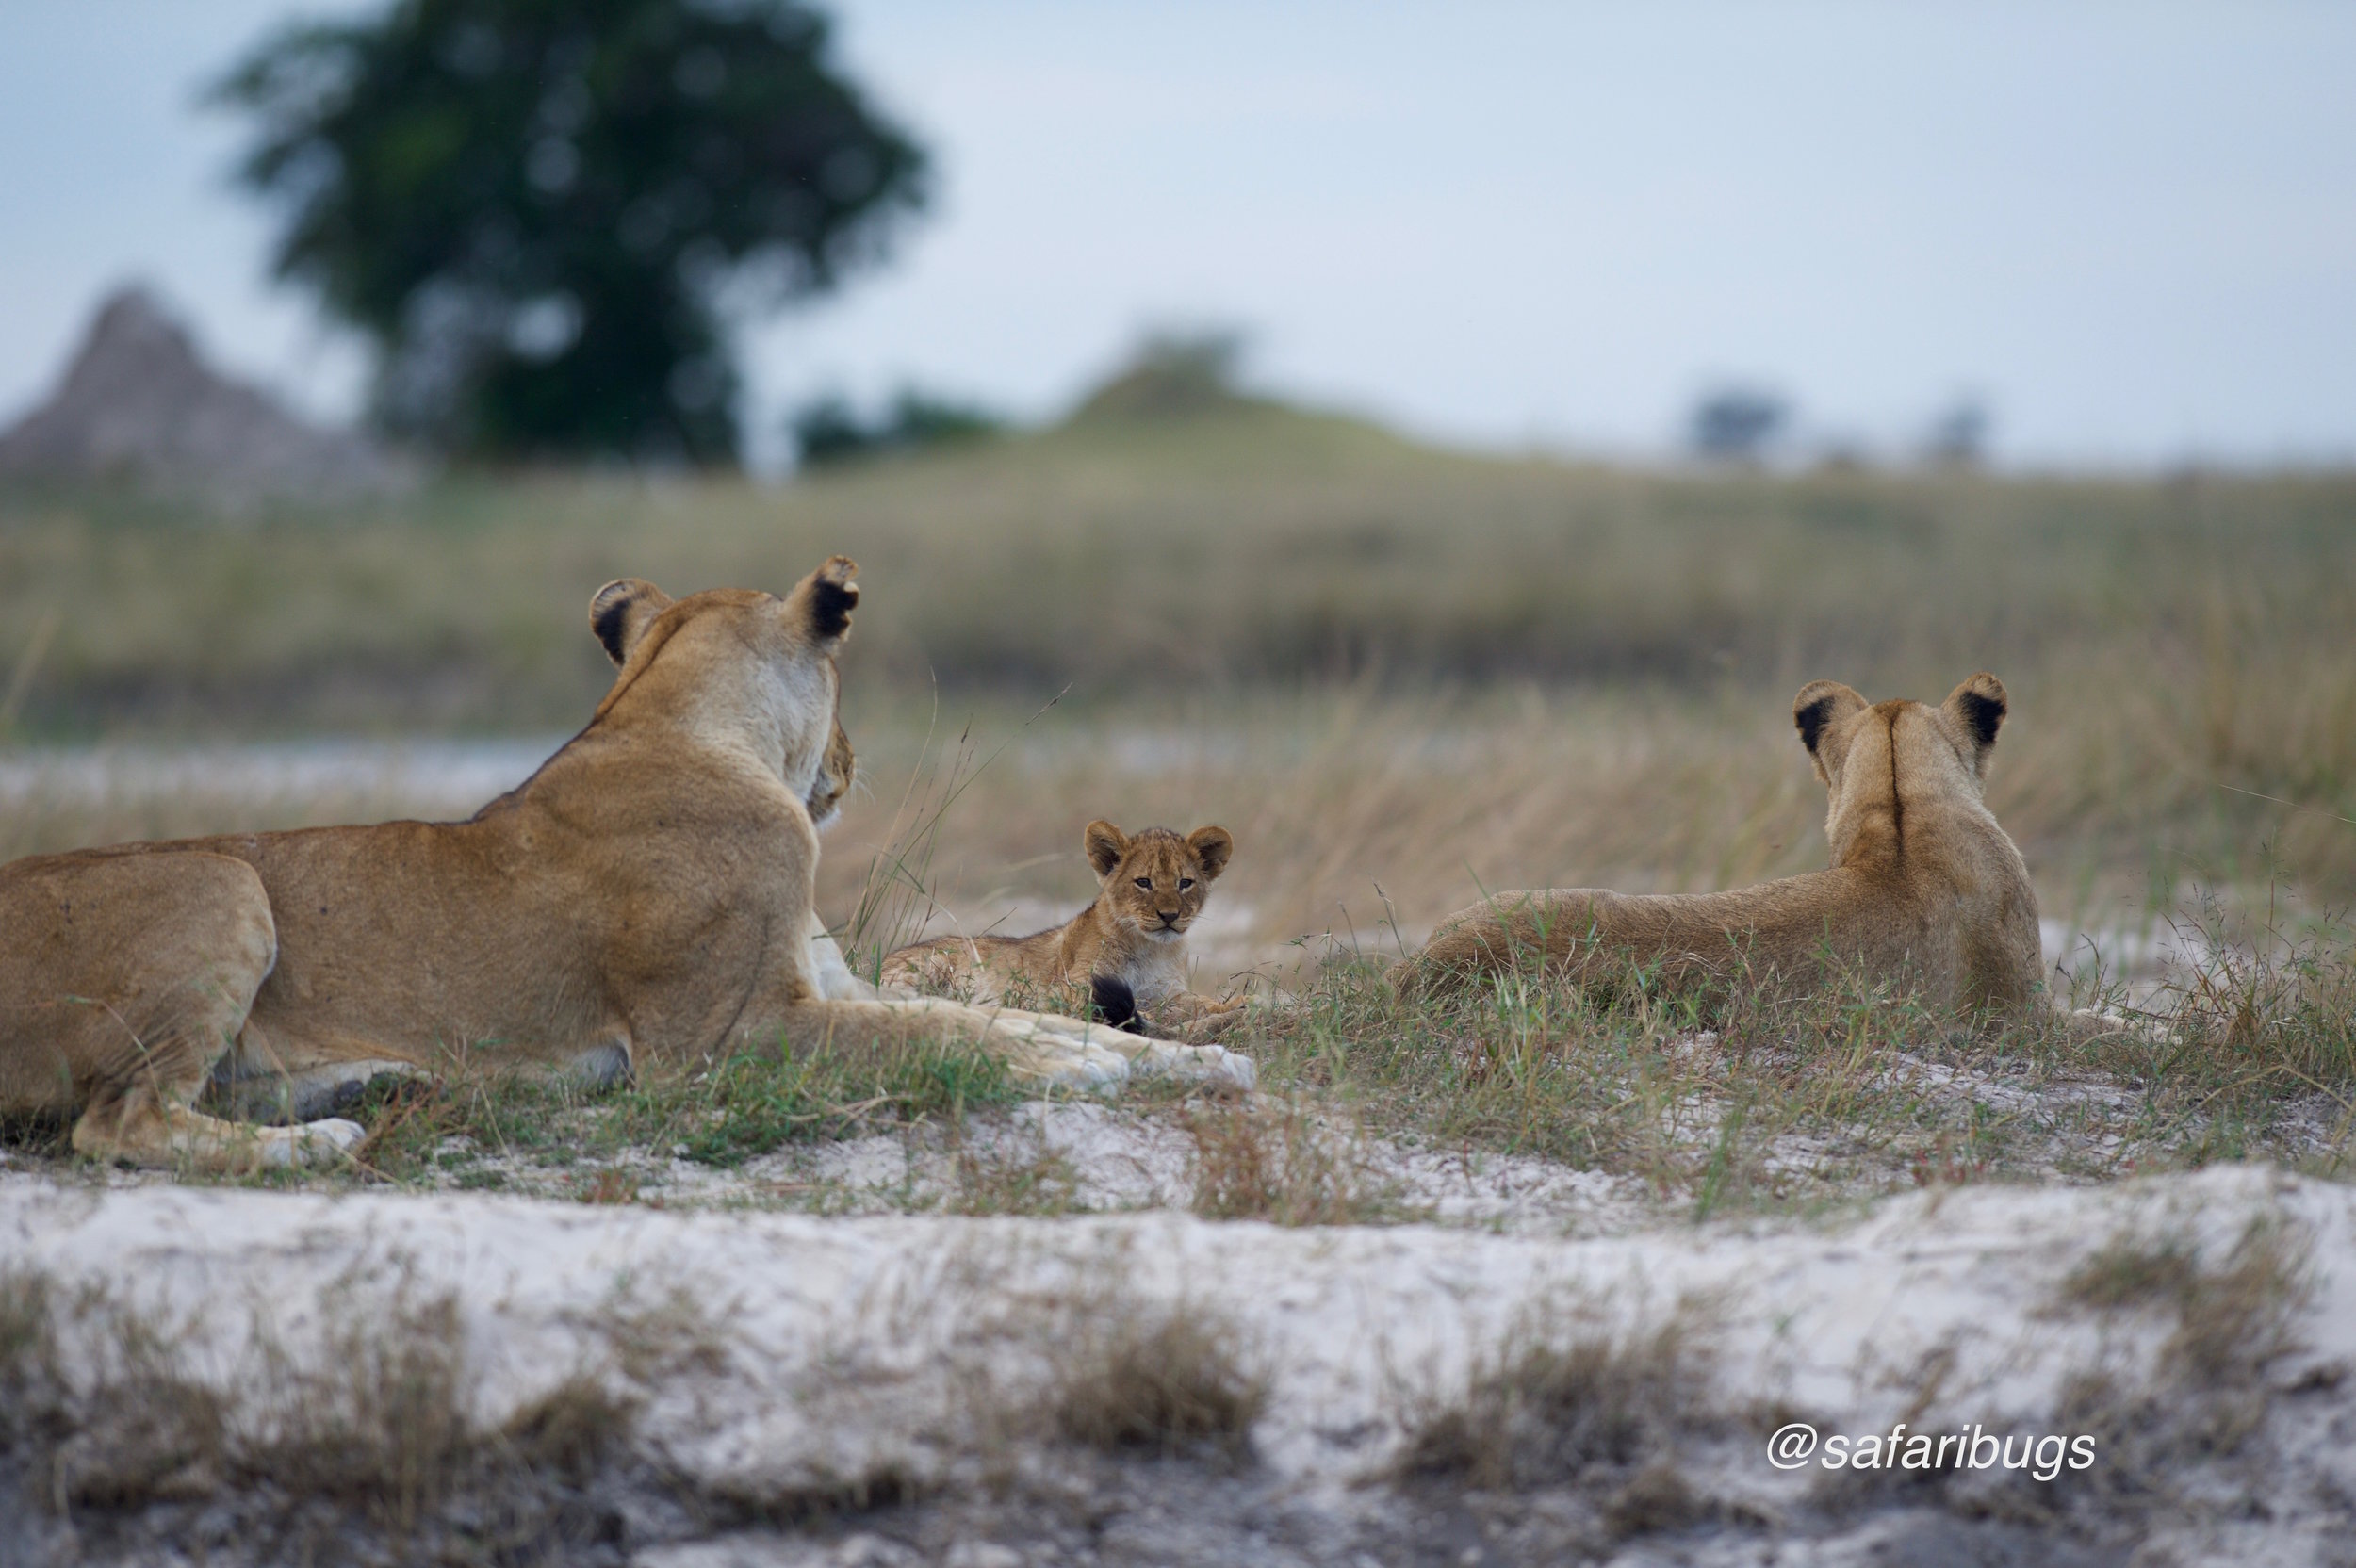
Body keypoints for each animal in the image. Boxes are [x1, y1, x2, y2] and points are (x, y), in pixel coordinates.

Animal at [886, 809, 1253, 1031]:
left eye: (1185, 883)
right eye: (1143, 882)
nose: (1169, 916)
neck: (1150, 948)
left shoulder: (1168, 990)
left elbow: (1197, 1002)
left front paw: (1240, 1002)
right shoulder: (1071, 988)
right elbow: (1149, 1011)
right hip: (931, 965)